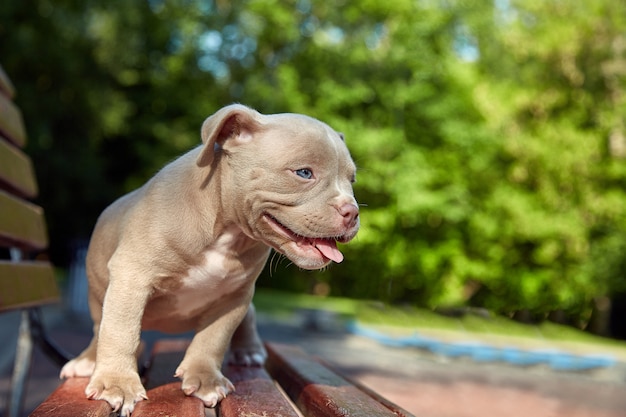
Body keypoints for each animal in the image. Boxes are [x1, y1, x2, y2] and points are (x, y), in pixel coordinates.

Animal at [62, 104, 360, 412]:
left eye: (352, 180)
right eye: (304, 173)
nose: (353, 212)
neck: (226, 228)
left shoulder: (234, 296)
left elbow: (213, 338)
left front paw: (205, 379)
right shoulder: (132, 277)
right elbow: (120, 331)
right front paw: (117, 383)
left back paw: (249, 350)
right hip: (99, 298)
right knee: (100, 327)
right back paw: (87, 360)